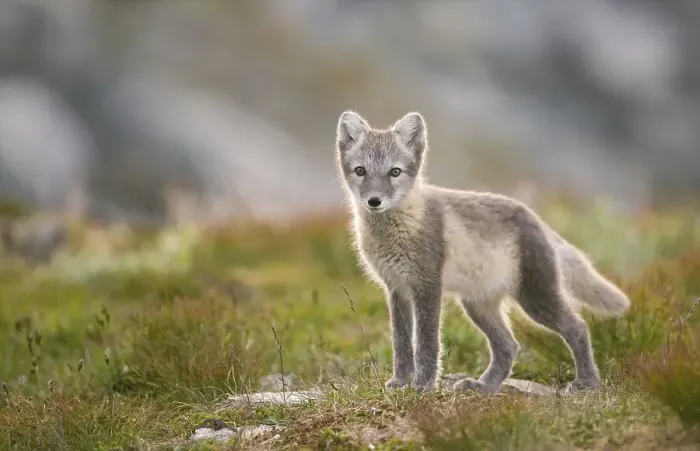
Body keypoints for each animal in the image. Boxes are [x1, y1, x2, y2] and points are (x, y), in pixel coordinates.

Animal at [334, 110, 631, 394]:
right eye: (360, 170)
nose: (374, 201)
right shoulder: (397, 288)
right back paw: (484, 386)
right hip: (478, 305)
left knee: (577, 327)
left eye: (395, 172)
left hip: (535, 297)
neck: (398, 228)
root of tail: (536, 219)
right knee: (509, 345)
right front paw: (399, 382)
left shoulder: (427, 286)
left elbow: (427, 342)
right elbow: (401, 343)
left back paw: (586, 383)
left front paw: (422, 386)